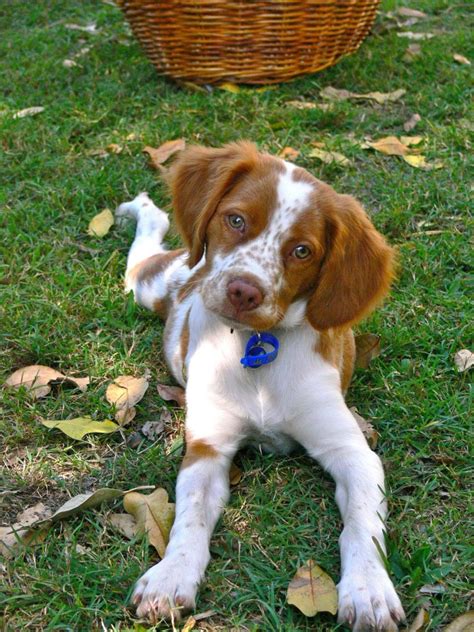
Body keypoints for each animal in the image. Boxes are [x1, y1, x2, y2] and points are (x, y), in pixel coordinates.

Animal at [116, 143, 406, 632]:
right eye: (235, 220)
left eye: (302, 250)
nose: (243, 291)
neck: (257, 348)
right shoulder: (207, 448)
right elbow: (190, 517)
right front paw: (170, 577)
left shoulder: (351, 452)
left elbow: (362, 524)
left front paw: (368, 589)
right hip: (149, 284)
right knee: (141, 255)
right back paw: (145, 209)